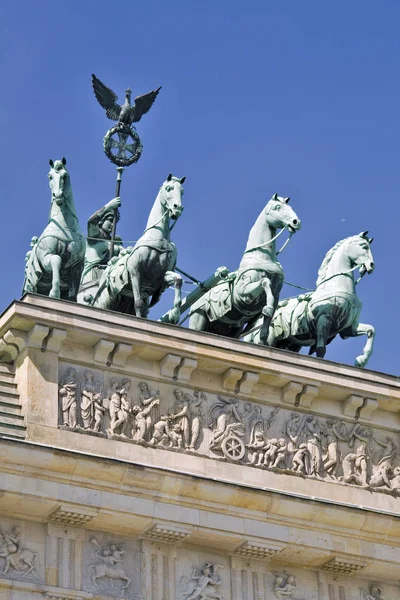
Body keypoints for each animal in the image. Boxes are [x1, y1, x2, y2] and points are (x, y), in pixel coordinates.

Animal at [22, 158, 84, 300]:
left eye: (64, 176)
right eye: (50, 176)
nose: (58, 195)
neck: (65, 226)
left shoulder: (77, 266)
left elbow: (72, 293)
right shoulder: (45, 257)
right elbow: (57, 259)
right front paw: (54, 292)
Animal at [92, 173, 186, 324]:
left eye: (181, 191)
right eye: (168, 188)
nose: (177, 208)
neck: (158, 237)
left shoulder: (161, 278)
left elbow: (178, 279)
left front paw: (175, 315)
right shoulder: (136, 273)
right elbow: (138, 304)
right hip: (104, 301)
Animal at [188, 195, 300, 340]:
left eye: (290, 207)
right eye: (277, 207)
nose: (296, 222)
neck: (261, 256)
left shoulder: (276, 294)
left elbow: (266, 325)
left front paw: (264, 328)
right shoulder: (243, 294)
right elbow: (265, 282)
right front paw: (267, 307)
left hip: (232, 329)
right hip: (198, 317)